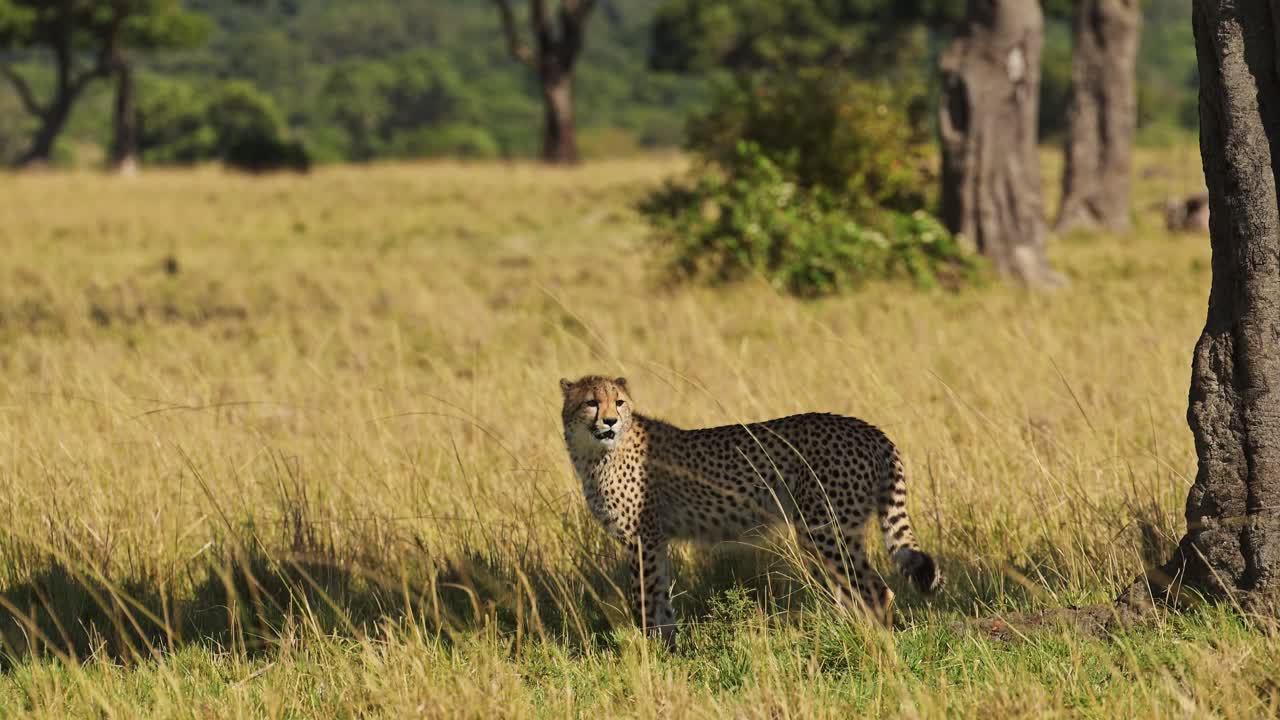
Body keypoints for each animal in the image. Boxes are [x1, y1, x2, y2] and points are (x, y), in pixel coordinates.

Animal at [559, 374, 942, 648]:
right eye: (591, 402)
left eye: (618, 402)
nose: (609, 421)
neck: (596, 453)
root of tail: (869, 428)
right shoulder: (656, 541)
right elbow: (662, 599)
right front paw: (669, 651)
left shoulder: (643, 540)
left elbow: (646, 597)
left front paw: (648, 654)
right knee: (852, 593)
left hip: (823, 529)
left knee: (875, 590)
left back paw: (870, 646)